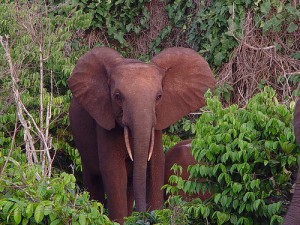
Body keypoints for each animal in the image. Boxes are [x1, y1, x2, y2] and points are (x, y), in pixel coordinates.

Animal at [67, 46, 214, 223]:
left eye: (159, 96)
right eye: (117, 96)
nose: (144, 216)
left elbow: (155, 167)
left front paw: (157, 216)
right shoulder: (104, 120)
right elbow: (114, 171)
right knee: (94, 178)